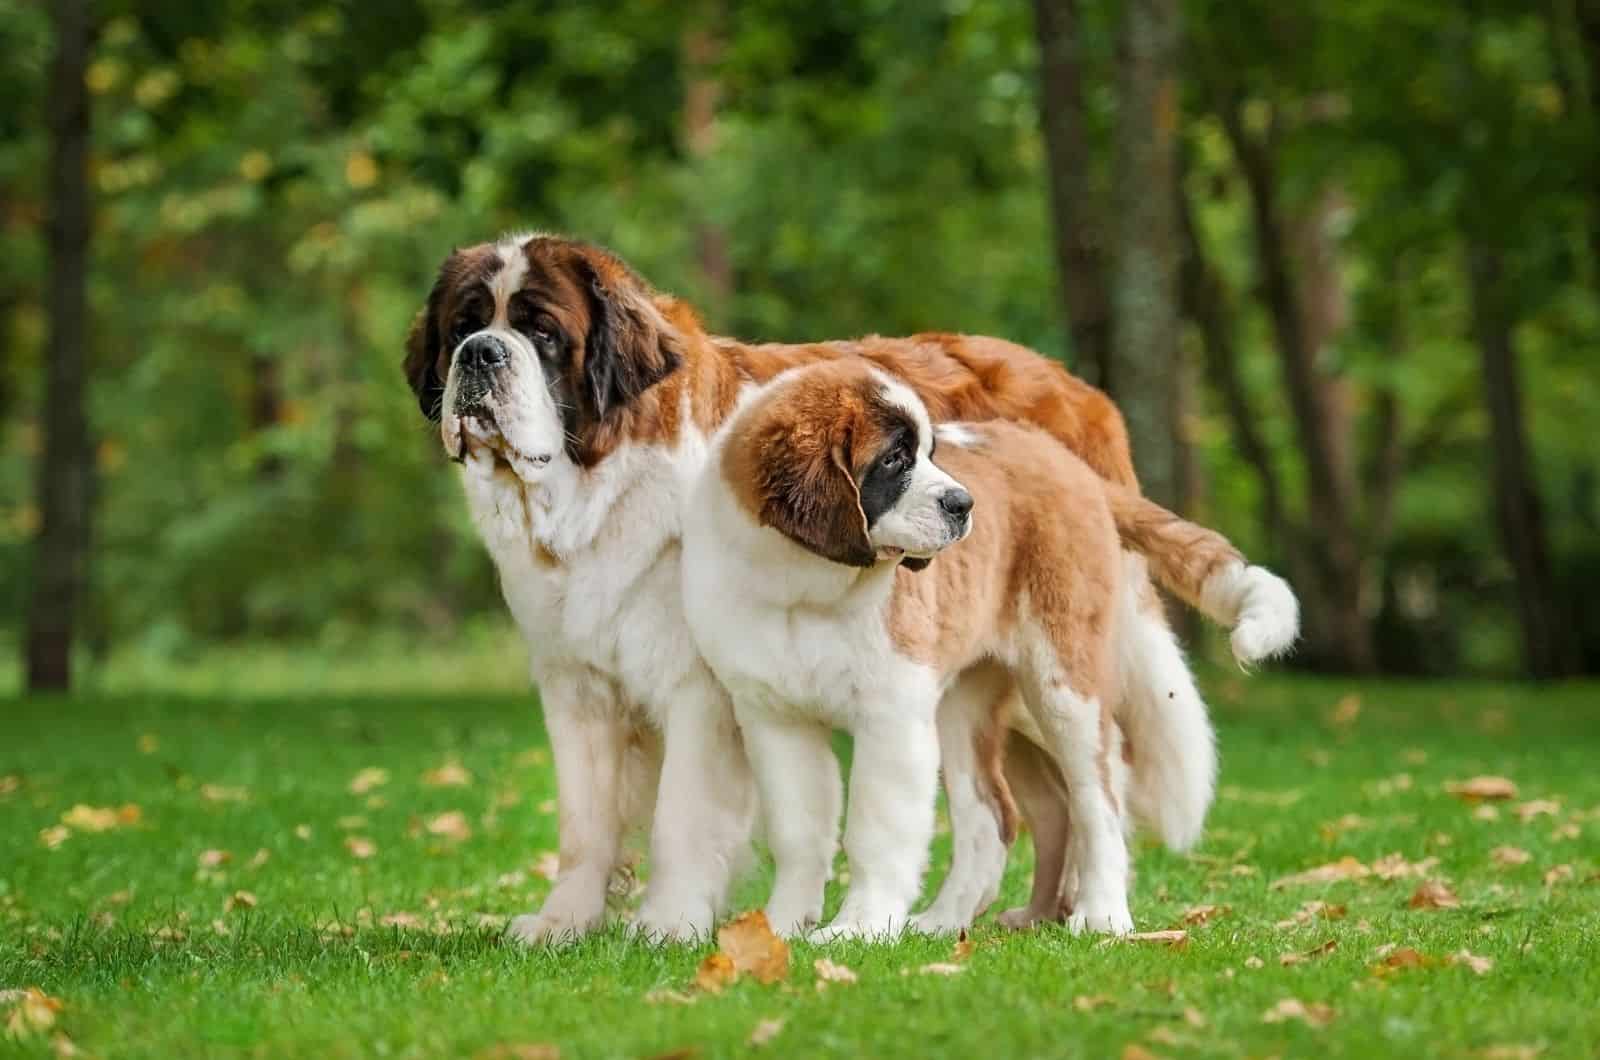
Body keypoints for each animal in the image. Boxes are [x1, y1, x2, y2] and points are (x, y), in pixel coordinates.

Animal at [684, 358, 1164, 941]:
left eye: (931, 454)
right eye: (894, 459)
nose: (964, 503)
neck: (805, 585)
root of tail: (1063, 457)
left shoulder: (891, 716)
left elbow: (874, 828)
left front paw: (859, 927)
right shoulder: (775, 718)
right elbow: (798, 830)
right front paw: (778, 928)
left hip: (1065, 683)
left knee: (1099, 797)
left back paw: (1102, 913)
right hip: (959, 703)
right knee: (989, 816)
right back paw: (943, 921)